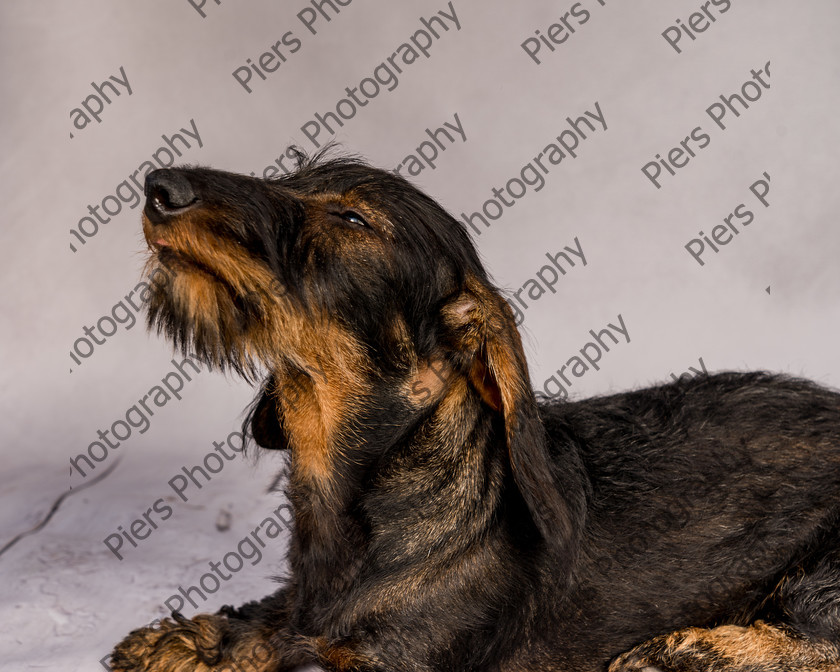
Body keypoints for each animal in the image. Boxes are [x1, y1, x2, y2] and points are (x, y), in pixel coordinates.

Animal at [111, 152, 840, 672]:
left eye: (352, 219)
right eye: (289, 178)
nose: (159, 186)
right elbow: (278, 616)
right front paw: (196, 639)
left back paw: (695, 649)